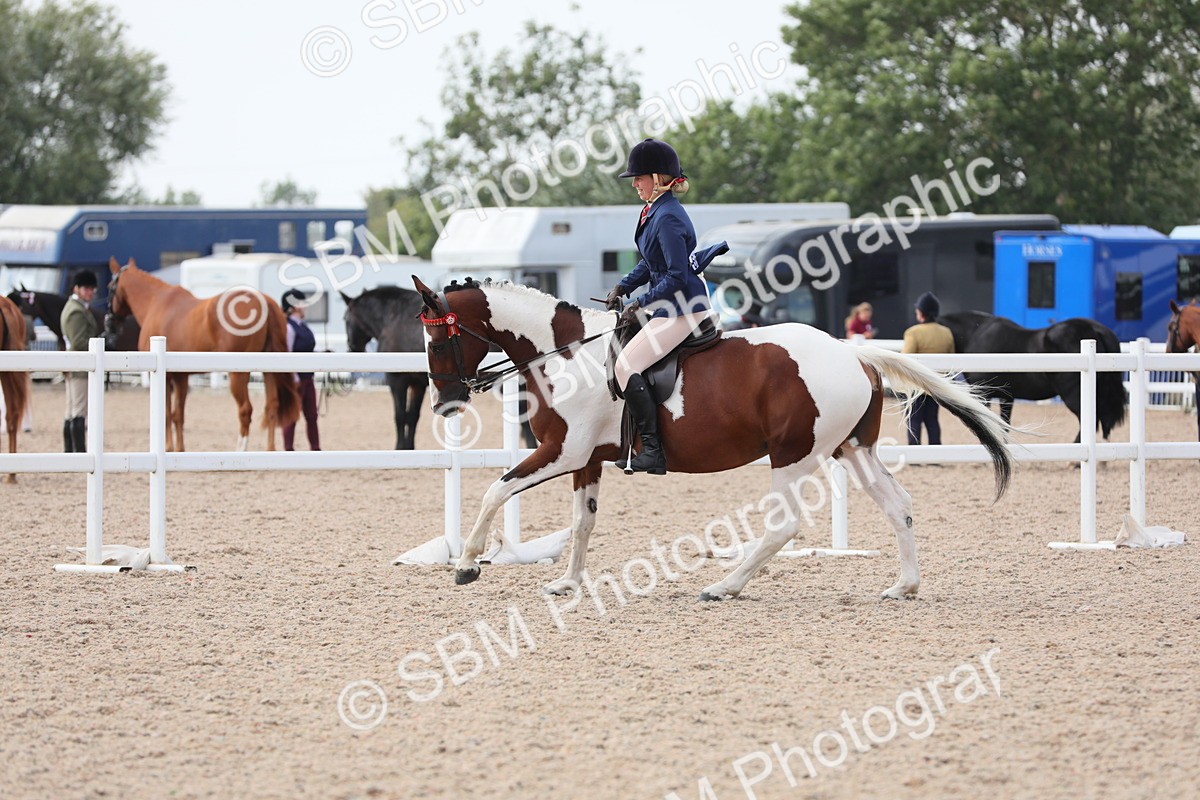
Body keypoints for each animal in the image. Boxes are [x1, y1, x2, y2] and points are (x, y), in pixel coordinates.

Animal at [107, 258, 300, 452]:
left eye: (109, 288)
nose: (109, 322)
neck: (156, 304)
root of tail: (264, 302)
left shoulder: (166, 377)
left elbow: (167, 414)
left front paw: (169, 448)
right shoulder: (181, 377)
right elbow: (178, 415)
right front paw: (180, 449)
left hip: (238, 374)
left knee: (246, 410)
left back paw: (240, 449)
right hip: (269, 371)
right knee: (272, 407)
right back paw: (270, 450)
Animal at [340, 286, 429, 450]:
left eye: (345, 319)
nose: (352, 348)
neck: (394, 317)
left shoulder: (397, 380)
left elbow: (400, 415)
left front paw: (400, 448)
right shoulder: (417, 384)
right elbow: (413, 416)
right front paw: (409, 448)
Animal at [413, 276, 1014, 602]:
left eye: (438, 343)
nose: (446, 404)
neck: (565, 355)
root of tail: (854, 352)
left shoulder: (562, 452)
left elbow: (496, 489)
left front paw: (468, 564)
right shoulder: (587, 460)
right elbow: (582, 522)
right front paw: (567, 583)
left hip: (793, 454)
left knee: (784, 525)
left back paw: (725, 586)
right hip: (853, 450)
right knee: (899, 505)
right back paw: (903, 586)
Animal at [939, 311, 1127, 443]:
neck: (975, 334)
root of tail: (1097, 330)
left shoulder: (984, 393)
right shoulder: (1007, 396)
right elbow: (1003, 425)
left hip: (1074, 394)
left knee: (1090, 420)